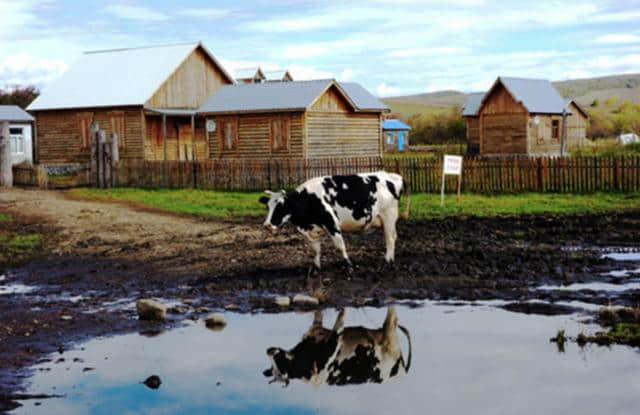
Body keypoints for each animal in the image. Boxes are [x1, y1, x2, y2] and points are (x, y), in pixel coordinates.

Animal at [260, 171, 410, 272]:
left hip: (389, 216)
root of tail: (393, 176)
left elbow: (340, 246)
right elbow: (316, 249)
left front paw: (349, 265)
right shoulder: (312, 231)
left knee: (390, 238)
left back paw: (388, 261)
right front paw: (316, 267)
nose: (267, 225)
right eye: (268, 206)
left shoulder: (332, 224)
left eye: (280, 206)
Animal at [262, 308, 412, 388]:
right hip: (389, 341)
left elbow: (320, 320)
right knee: (391, 319)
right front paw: (342, 313)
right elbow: (337, 329)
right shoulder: (329, 353)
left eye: (276, 360)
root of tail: (402, 369)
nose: (269, 350)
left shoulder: (316, 333)